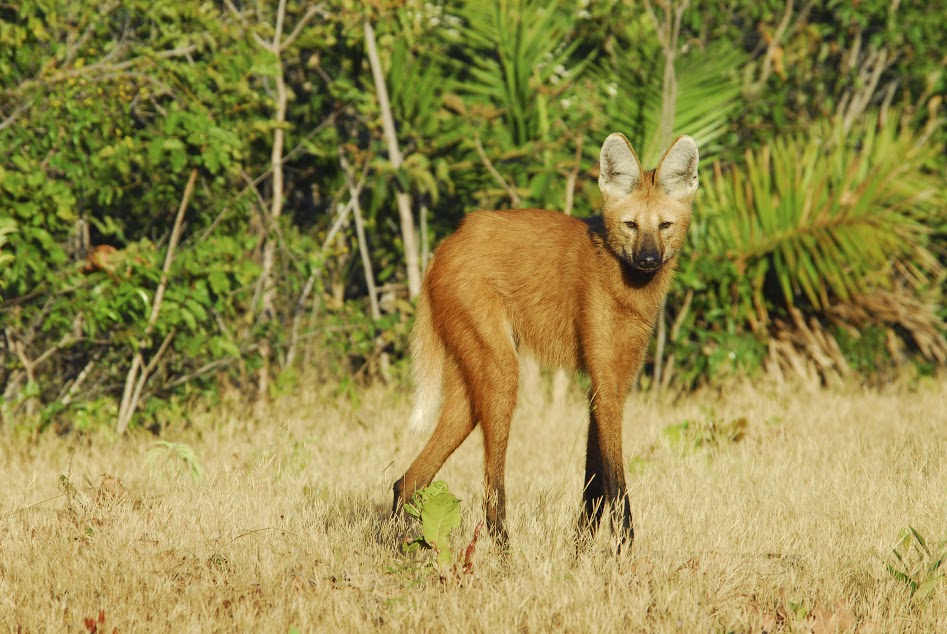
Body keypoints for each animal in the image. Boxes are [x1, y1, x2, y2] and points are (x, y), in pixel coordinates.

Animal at [390, 131, 696, 544]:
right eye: (631, 225)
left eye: (664, 225)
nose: (648, 260)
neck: (623, 283)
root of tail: (446, 244)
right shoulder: (606, 383)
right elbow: (615, 481)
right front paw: (624, 550)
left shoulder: (609, 381)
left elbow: (594, 482)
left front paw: (581, 548)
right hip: (501, 373)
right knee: (490, 491)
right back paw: (505, 555)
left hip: (468, 388)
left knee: (407, 480)